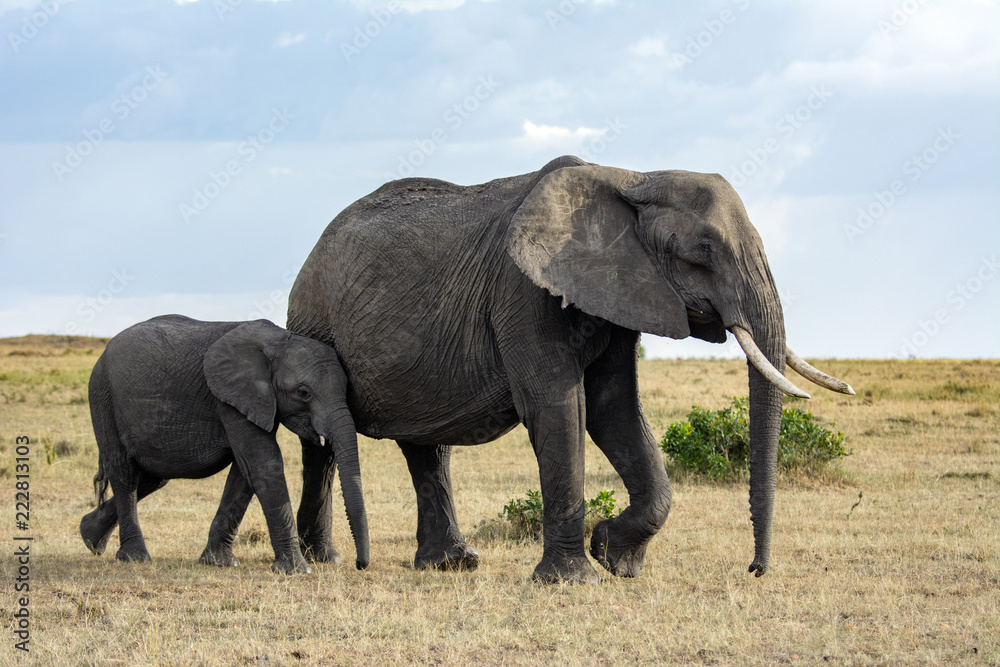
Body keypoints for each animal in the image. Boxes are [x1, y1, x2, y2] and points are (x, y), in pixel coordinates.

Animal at [79, 315, 370, 573]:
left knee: (154, 475)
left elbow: (243, 473)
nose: (359, 565)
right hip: (102, 395)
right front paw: (298, 571)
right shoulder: (230, 397)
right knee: (124, 471)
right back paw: (134, 557)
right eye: (303, 393)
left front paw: (219, 563)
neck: (278, 340)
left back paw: (89, 537)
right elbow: (263, 465)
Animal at [280, 155, 853, 583]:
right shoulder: (522, 291)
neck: (632, 178)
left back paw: (451, 564)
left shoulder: (619, 294)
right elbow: (557, 407)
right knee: (321, 444)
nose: (755, 569)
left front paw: (615, 558)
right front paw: (574, 579)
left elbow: (613, 410)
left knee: (426, 447)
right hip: (313, 322)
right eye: (703, 250)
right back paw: (322, 560)